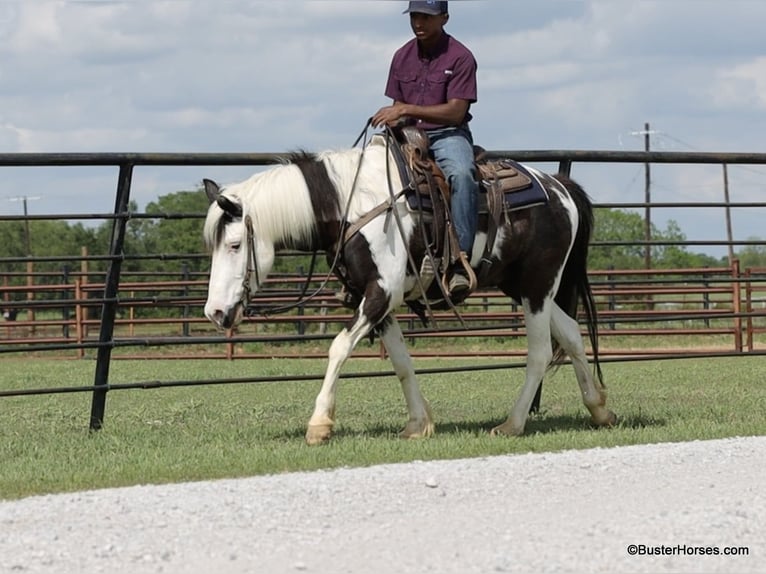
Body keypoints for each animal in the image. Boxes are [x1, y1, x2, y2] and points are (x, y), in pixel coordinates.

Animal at [202, 134, 617, 445]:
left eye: (235, 245)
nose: (215, 313)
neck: (353, 204)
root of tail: (560, 188)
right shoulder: (372, 297)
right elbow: (401, 361)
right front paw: (418, 424)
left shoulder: (380, 293)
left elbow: (338, 347)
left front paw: (319, 424)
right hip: (523, 286)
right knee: (571, 334)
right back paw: (599, 408)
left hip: (538, 285)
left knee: (540, 351)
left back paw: (512, 424)